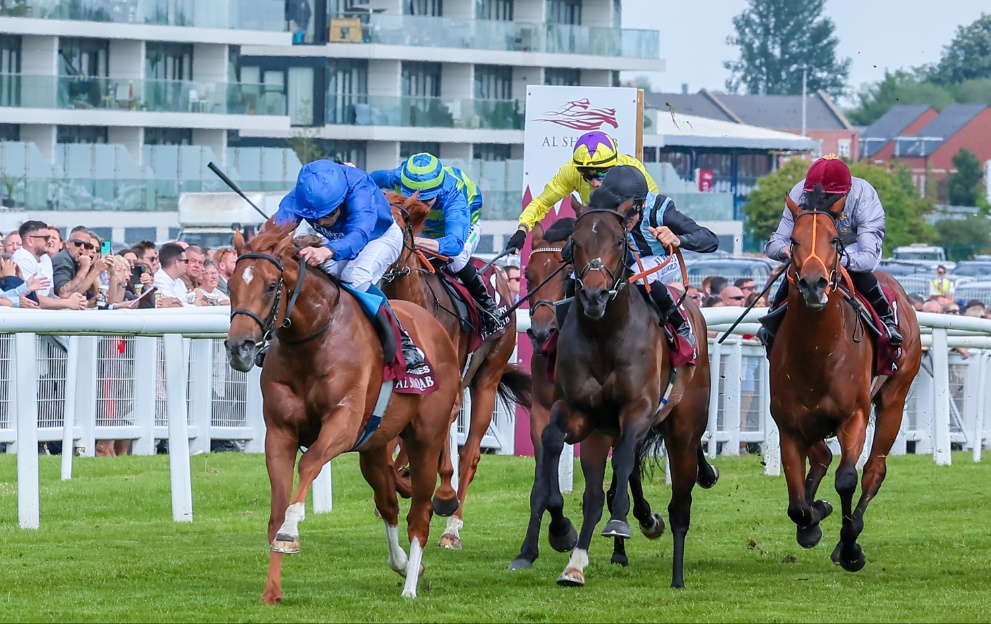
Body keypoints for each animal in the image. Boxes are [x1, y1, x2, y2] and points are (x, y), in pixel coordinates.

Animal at [225, 222, 462, 604]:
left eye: (272, 286)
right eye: (231, 285)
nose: (239, 348)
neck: (311, 341)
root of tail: (435, 326)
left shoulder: (343, 423)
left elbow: (309, 464)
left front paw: (291, 531)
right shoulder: (280, 432)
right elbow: (276, 508)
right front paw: (271, 590)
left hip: (426, 439)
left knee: (419, 514)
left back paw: (410, 586)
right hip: (374, 448)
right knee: (388, 504)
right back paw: (402, 563)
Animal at [382, 191, 536, 552]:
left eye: (396, 223)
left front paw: (440, 494)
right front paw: (402, 480)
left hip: (487, 378)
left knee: (470, 454)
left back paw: (452, 526)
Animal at [512, 212, 668, 572]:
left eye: (565, 272)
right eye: (528, 274)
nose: (541, 333)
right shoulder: (543, 412)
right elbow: (544, 477)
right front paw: (555, 532)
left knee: (628, 466)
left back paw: (633, 528)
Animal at [532, 197, 716, 588]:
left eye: (619, 241)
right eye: (576, 244)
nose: (594, 295)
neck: (606, 334)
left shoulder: (638, 409)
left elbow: (624, 463)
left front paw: (620, 521)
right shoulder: (579, 411)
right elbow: (558, 445)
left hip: (683, 427)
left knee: (680, 504)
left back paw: (677, 575)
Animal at [772, 186, 928, 572]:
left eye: (834, 239)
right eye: (793, 241)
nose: (814, 285)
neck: (817, 352)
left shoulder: (853, 415)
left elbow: (847, 479)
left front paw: (849, 548)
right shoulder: (789, 425)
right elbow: (797, 503)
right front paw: (813, 519)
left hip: (894, 398)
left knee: (873, 469)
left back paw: (851, 531)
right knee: (822, 457)